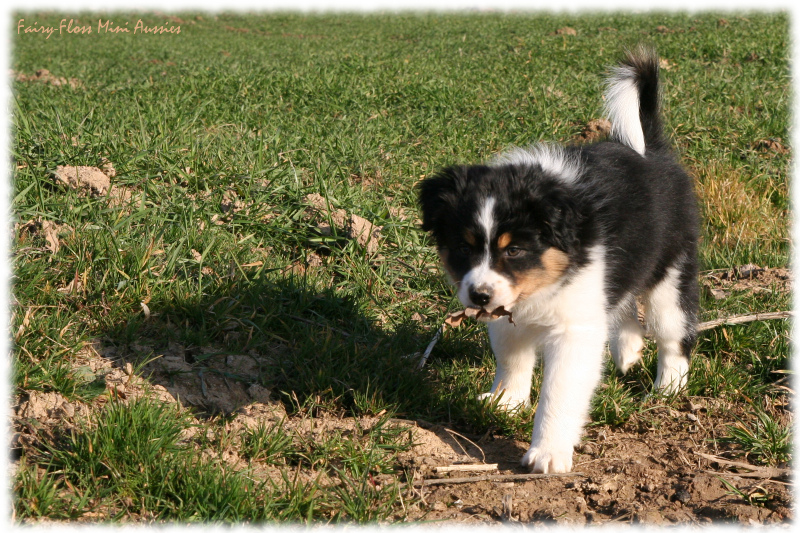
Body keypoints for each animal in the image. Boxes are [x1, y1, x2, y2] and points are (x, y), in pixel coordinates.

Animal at [422, 50, 696, 472]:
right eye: (464, 248)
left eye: (514, 250)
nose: (479, 297)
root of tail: (653, 148)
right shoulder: (510, 311)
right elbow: (512, 359)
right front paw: (505, 401)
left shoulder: (573, 329)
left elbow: (558, 392)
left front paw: (548, 453)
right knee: (621, 304)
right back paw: (628, 350)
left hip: (671, 272)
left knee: (672, 333)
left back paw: (668, 388)